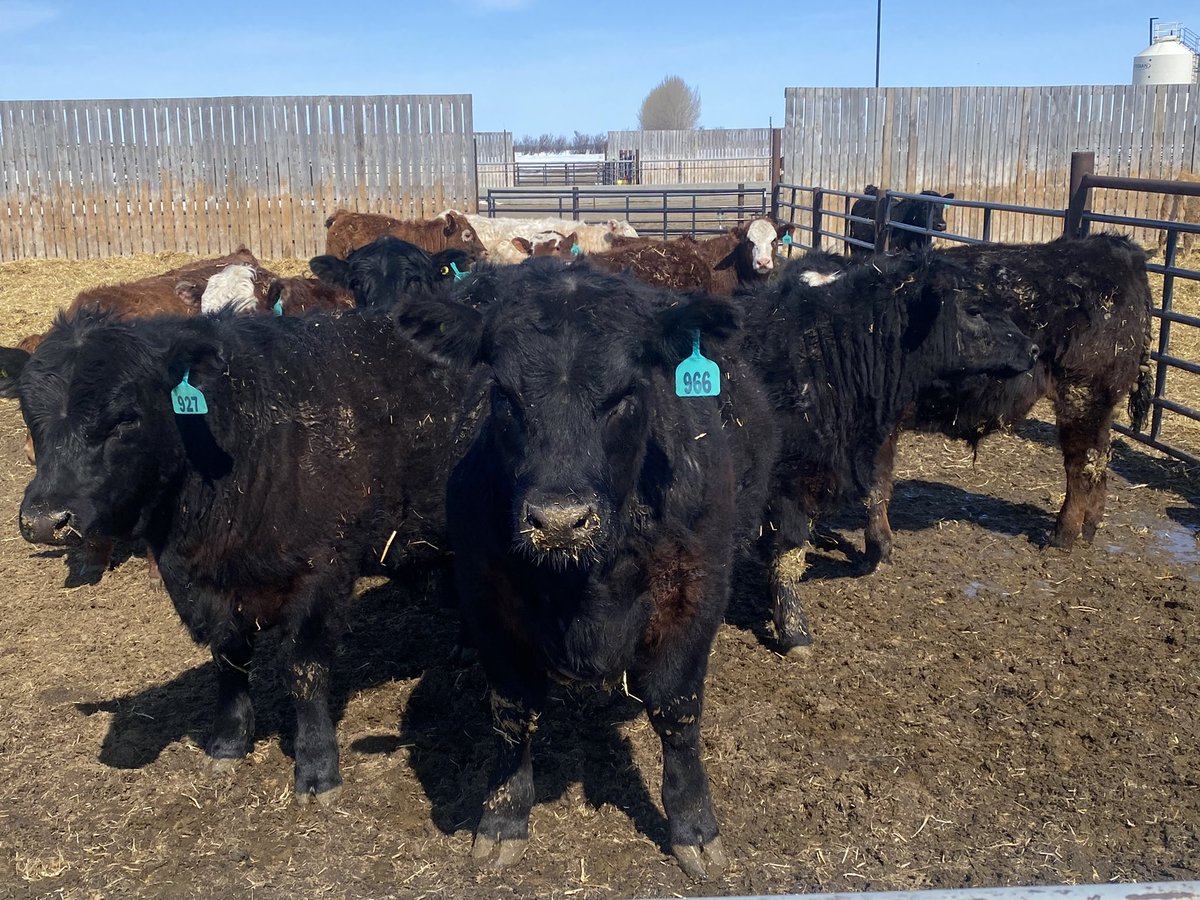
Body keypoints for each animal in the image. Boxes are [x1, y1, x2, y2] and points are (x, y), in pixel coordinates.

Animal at [0, 308, 467, 800]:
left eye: (125, 418)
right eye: (29, 415)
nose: (44, 520)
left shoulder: (323, 572)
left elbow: (305, 671)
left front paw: (317, 768)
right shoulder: (204, 587)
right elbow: (227, 659)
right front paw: (227, 743)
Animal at [393, 258, 776, 880]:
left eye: (625, 394)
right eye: (503, 394)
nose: (558, 520)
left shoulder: (696, 591)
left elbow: (677, 711)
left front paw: (694, 826)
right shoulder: (487, 595)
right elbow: (511, 711)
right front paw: (502, 816)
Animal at [740, 251, 1040, 652]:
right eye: (974, 310)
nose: (1033, 349)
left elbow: (876, 492)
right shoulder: (790, 481)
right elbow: (787, 549)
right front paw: (793, 627)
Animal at [864, 233, 1154, 564]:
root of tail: (1116, 247)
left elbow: (875, 484)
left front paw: (878, 547)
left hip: (1082, 395)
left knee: (1081, 466)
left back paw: (1062, 537)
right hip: (1098, 405)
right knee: (1099, 461)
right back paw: (1088, 532)